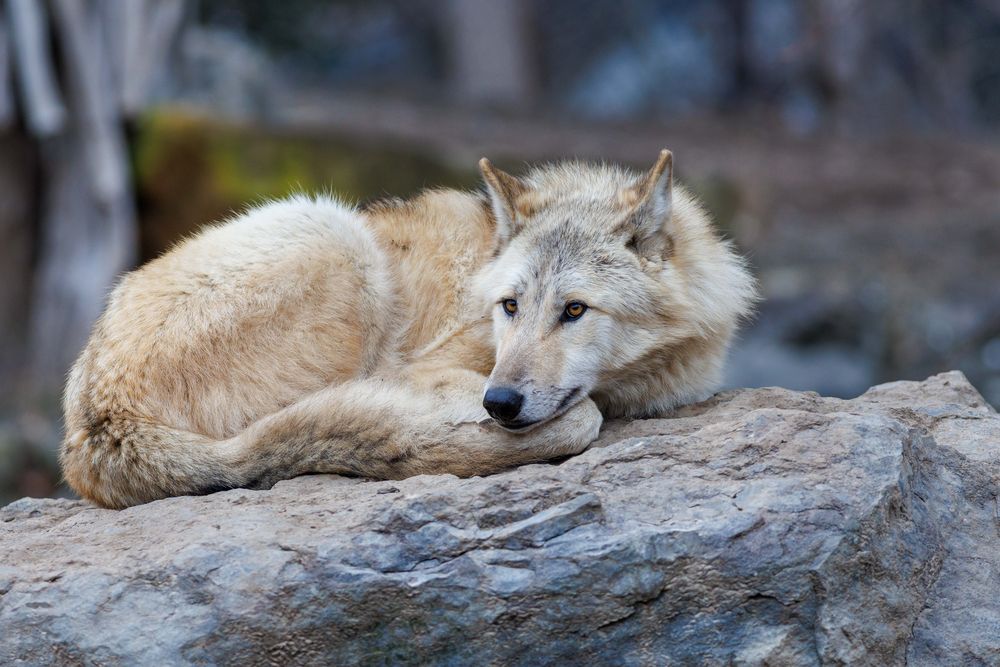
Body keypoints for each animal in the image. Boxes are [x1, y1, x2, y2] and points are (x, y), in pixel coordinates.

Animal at [60, 150, 756, 506]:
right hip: (334, 234)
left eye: (575, 310)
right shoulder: (433, 368)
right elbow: (580, 415)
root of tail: (99, 420)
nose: (500, 404)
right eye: (510, 306)